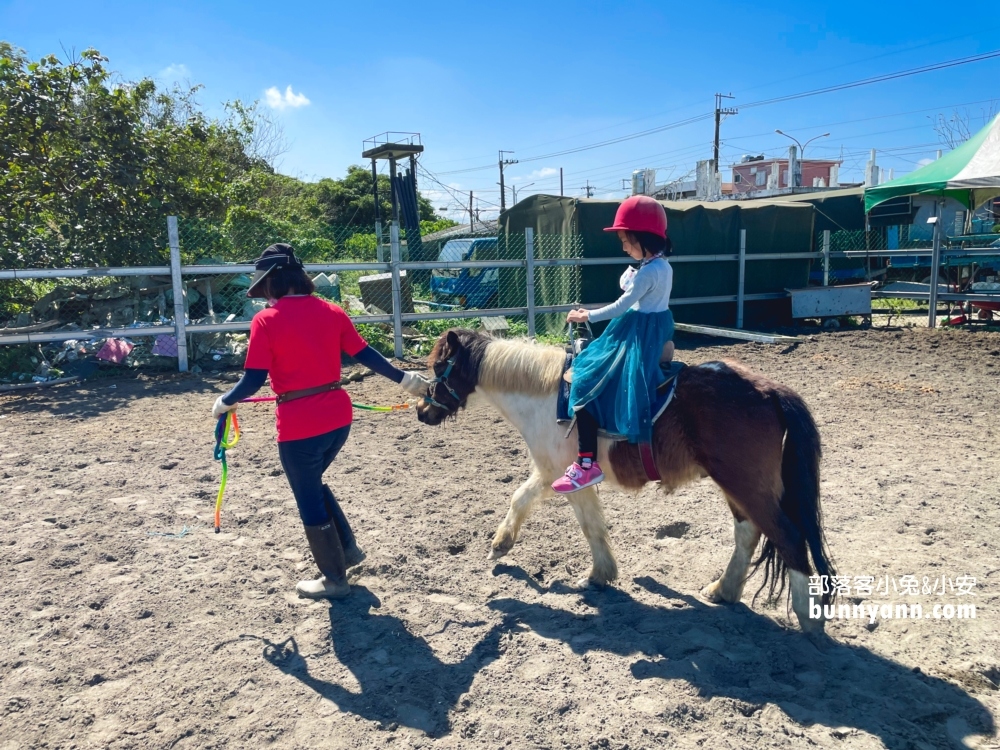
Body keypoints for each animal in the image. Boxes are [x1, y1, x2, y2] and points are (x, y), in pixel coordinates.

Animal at [416, 332, 836, 632]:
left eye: (439, 368)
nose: (421, 411)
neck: (546, 396)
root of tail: (770, 391)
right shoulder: (552, 473)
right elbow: (524, 498)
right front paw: (502, 545)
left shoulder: (567, 477)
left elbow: (585, 525)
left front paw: (597, 575)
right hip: (738, 485)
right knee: (748, 533)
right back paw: (724, 590)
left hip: (746, 483)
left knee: (789, 538)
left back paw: (808, 620)